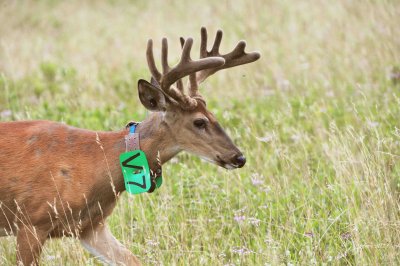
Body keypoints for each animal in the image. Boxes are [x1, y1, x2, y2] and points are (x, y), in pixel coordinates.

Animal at [0, 28, 260, 264]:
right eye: (199, 121)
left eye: (214, 115)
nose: (239, 157)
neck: (94, 163)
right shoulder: (31, 221)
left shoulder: (91, 226)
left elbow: (133, 260)